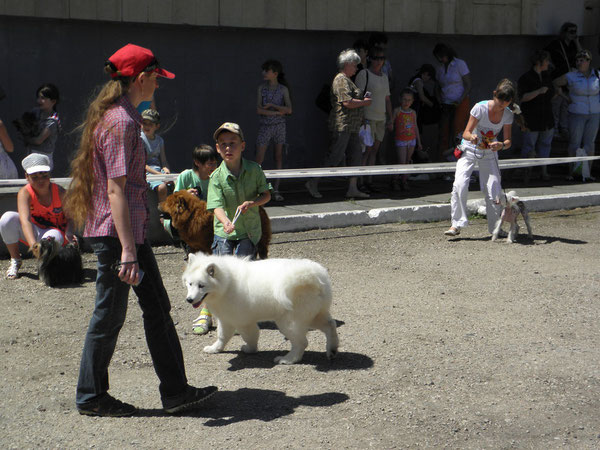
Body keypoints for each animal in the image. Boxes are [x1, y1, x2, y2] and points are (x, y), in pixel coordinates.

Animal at [183, 253, 338, 366]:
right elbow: (222, 336)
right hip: (313, 315)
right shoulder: (226, 319)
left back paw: (287, 359)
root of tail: (313, 276)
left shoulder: (242, 322)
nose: (189, 300)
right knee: (330, 325)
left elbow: (250, 336)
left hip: (289, 323)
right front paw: (215, 349)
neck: (227, 284)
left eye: (201, 285)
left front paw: (250, 350)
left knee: (301, 343)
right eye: (190, 284)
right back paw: (332, 349)